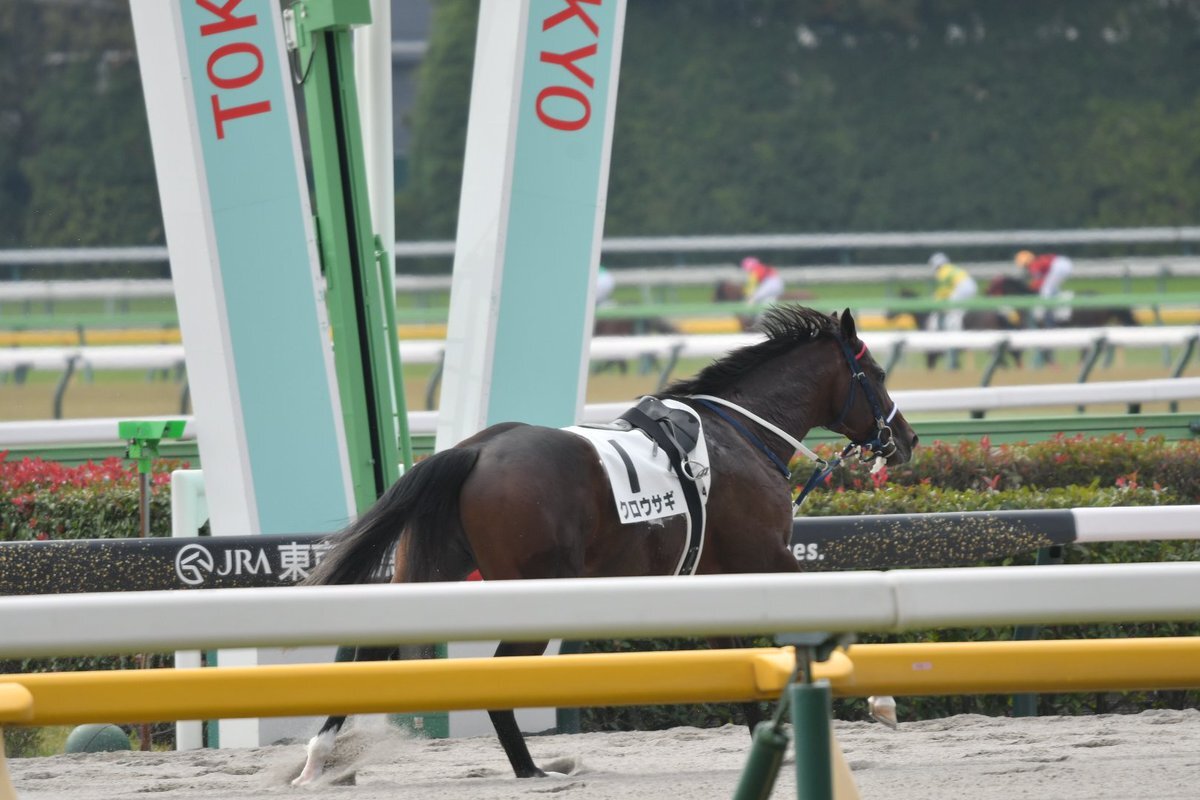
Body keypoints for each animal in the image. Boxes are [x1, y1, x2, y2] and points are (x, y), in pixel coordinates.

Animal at [292, 305, 918, 786]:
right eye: (878, 372)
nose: (907, 439)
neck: (744, 435)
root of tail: (472, 450)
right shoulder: (767, 559)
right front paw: (882, 702)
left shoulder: (719, 579)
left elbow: (736, 664)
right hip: (536, 590)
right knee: (496, 674)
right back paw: (531, 770)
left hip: (430, 574)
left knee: (370, 648)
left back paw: (320, 760)